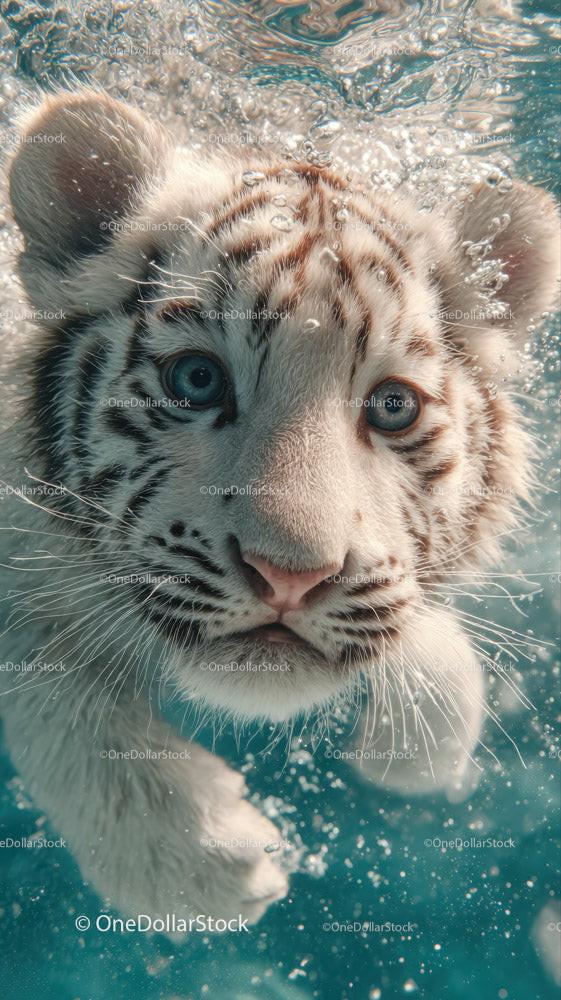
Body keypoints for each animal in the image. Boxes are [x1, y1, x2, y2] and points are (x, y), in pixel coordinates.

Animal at [0, 90, 558, 927]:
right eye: (196, 380)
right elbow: (42, 673)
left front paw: (412, 748)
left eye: (393, 406)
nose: (291, 577)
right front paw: (196, 858)